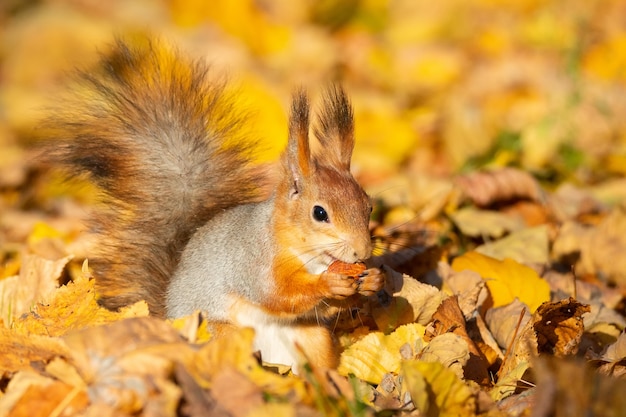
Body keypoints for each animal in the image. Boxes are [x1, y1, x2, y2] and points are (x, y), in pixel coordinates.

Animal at [46, 38, 382, 368]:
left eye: (368, 206)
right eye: (319, 213)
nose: (362, 252)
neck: (310, 256)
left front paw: (373, 280)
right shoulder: (254, 262)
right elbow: (277, 294)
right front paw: (330, 284)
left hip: (313, 339)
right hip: (218, 332)